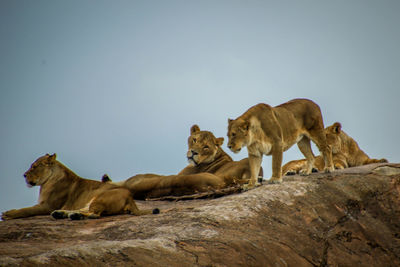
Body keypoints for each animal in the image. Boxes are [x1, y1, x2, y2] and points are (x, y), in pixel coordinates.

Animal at [1, 154, 159, 221]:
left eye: (34, 167)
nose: (24, 175)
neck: (47, 182)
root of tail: (130, 198)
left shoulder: (48, 205)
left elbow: (27, 210)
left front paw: (8, 214)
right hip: (91, 200)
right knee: (84, 210)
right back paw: (63, 214)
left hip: (99, 197)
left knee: (94, 215)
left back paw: (70, 216)